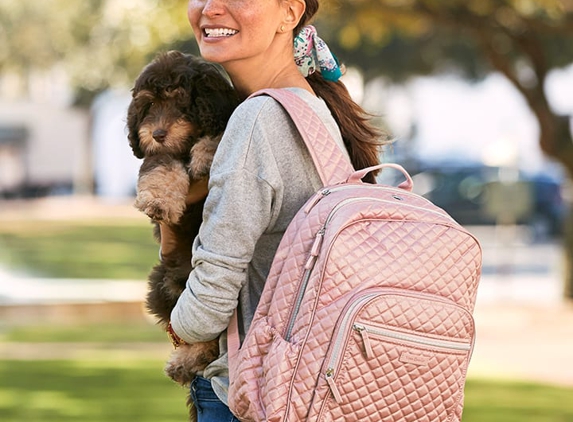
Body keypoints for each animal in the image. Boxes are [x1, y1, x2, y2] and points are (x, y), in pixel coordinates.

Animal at [126, 49, 238, 418]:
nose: (158, 132)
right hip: (165, 283)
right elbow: (161, 165)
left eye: (180, 101)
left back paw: (184, 363)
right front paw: (159, 201)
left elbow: (219, 136)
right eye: (149, 105)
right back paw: (184, 363)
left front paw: (206, 155)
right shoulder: (157, 155)